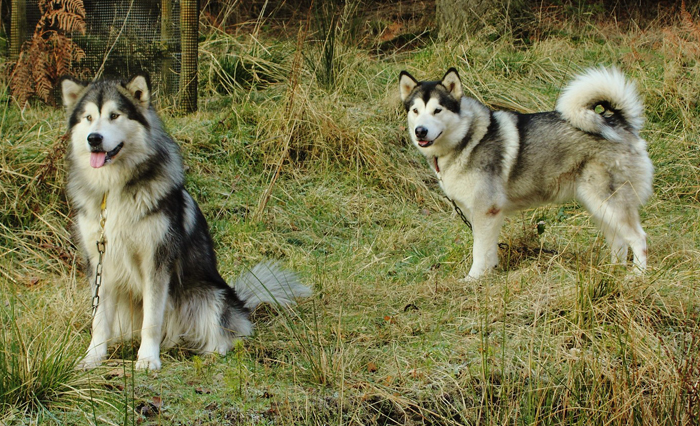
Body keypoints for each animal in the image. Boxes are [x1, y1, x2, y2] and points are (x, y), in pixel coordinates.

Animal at [62, 75, 308, 370]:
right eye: (88, 118)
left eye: (114, 115)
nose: (94, 139)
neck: (112, 189)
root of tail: (241, 303)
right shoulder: (99, 261)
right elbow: (99, 320)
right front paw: (93, 357)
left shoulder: (156, 261)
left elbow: (152, 320)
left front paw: (148, 358)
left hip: (209, 297)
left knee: (225, 333)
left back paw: (213, 351)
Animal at [402, 67, 652, 280]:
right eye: (415, 111)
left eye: (437, 110)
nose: (420, 131)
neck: (466, 139)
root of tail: (617, 121)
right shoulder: (480, 215)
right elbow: (488, 250)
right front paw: (489, 275)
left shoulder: (486, 211)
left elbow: (479, 251)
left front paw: (472, 279)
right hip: (598, 206)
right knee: (619, 242)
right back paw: (610, 273)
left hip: (610, 203)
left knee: (638, 239)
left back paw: (637, 275)